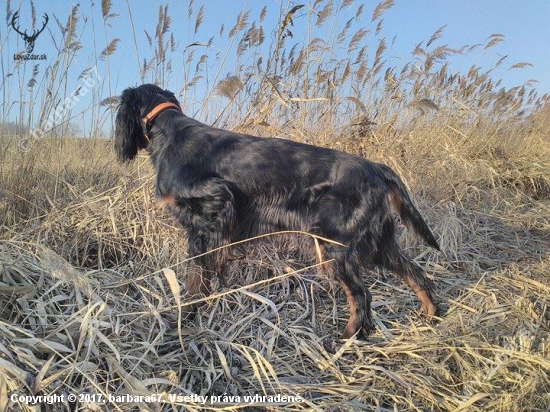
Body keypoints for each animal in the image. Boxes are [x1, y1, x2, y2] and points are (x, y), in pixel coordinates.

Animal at [114, 83, 442, 338]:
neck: (170, 132)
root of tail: (376, 168)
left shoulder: (211, 209)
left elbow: (196, 276)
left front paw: (184, 317)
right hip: (377, 242)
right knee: (415, 273)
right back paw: (430, 316)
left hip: (334, 245)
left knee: (361, 295)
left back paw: (343, 340)